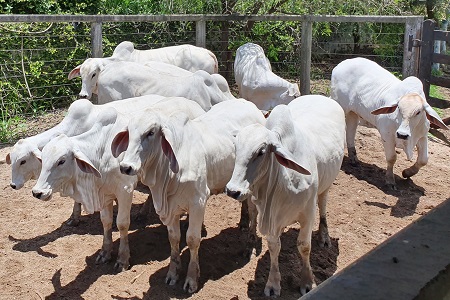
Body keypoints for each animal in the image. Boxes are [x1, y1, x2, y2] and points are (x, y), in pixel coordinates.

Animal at [31, 97, 206, 270]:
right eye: (42, 159)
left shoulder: (125, 191)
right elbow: (106, 221)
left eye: (61, 161)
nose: (37, 192)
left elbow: (122, 223)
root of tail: (195, 105)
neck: (101, 151)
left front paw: (122, 258)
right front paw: (105, 252)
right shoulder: (104, 193)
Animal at [111, 98, 268, 292]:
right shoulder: (170, 209)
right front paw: (173, 274)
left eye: (151, 132)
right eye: (129, 132)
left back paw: (249, 246)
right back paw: (243, 223)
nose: (126, 167)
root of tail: (248, 103)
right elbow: (174, 239)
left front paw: (191, 279)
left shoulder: (197, 202)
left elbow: (193, 239)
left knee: (254, 213)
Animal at [227, 95, 346, 296]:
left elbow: (304, 246)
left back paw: (324, 236)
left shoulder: (308, 213)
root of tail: (321, 96)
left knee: (323, 205)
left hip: (327, 184)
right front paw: (273, 284)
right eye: (236, 147)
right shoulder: (270, 217)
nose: (232, 190)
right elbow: (274, 246)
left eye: (261, 152)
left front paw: (307, 281)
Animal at [328, 56, 448, 188]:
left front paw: (407, 173)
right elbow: (392, 157)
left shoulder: (422, 136)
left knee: (350, 130)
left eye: (418, 112)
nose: (402, 134)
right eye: (399, 108)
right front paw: (390, 180)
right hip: (340, 106)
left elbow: (423, 160)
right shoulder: (387, 135)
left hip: (352, 113)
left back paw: (354, 159)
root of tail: (339, 65)